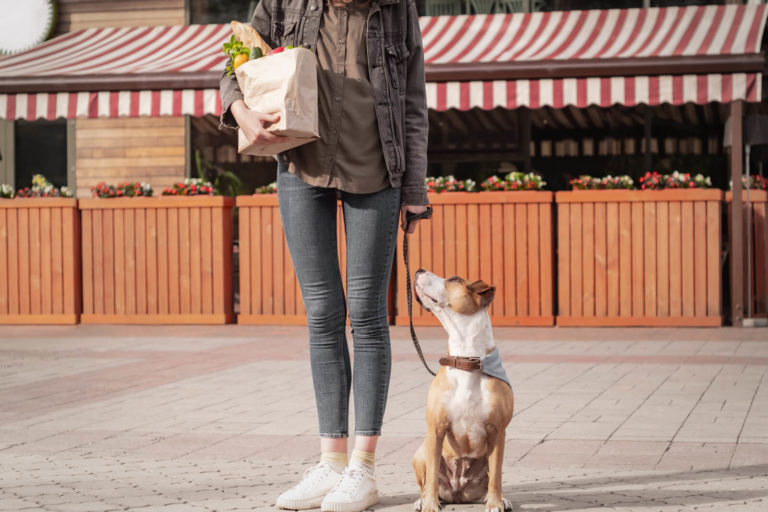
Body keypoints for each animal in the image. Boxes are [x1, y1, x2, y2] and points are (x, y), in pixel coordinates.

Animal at [412, 270, 512, 510]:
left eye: (455, 279)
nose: (419, 270)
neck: (467, 359)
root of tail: (458, 493)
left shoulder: (498, 431)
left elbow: (496, 475)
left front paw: (495, 503)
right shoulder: (436, 429)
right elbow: (431, 479)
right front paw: (430, 505)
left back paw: (502, 498)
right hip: (420, 453)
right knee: (426, 482)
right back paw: (422, 500)